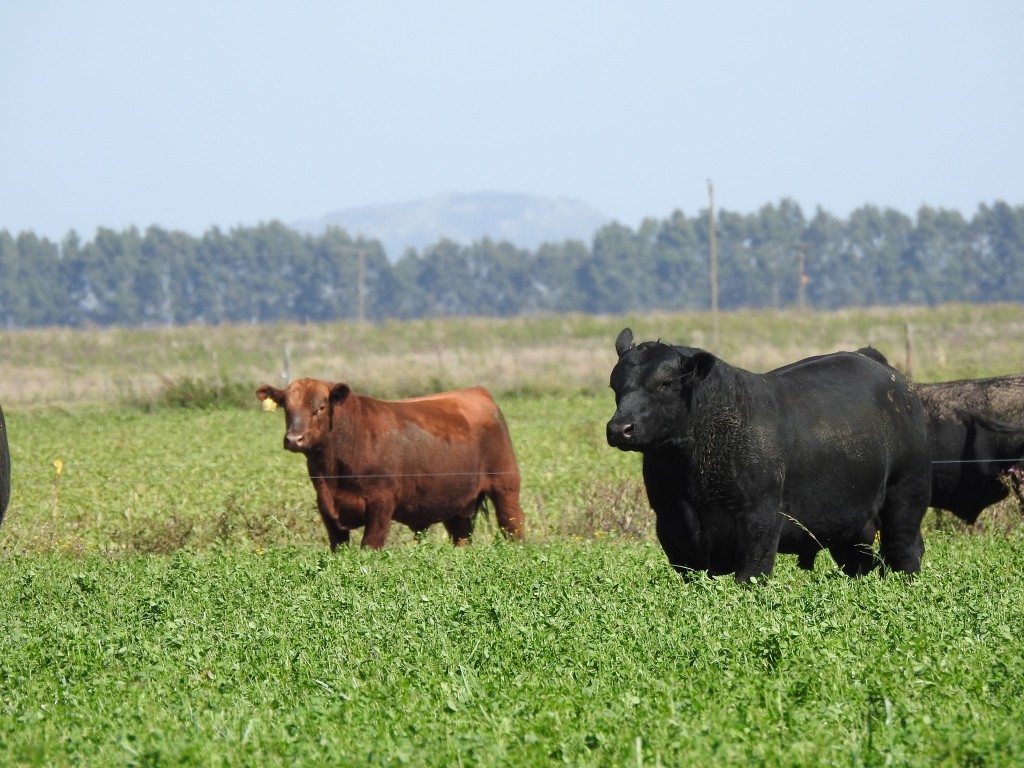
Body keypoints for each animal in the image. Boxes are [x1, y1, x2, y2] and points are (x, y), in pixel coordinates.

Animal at [256, 380, 528, 548]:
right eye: (287, 408)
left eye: (321, 407)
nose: (294, 439)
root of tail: (476, 392)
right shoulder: (327, 508)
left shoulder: (380, 504)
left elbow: (369, 546)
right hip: (456, 503)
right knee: (461, 538)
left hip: (505, 487)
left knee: (513, 526)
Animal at [606, 329, 937, 581]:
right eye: (615, 386)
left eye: (665, 383)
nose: (620, 428)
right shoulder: (672, 524)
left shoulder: (760, 518)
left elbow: (751, 576)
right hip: (851, 524)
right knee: (860, 563)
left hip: (905, 495)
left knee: (904, 552)